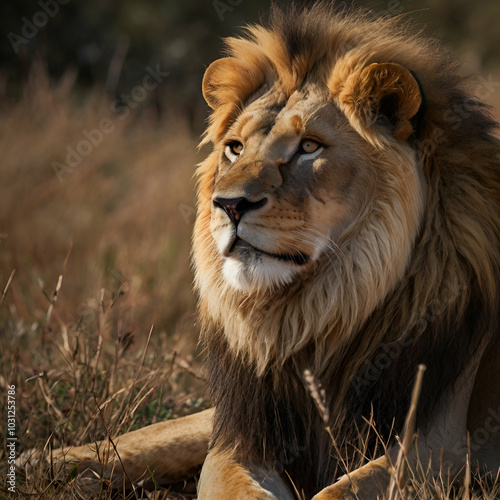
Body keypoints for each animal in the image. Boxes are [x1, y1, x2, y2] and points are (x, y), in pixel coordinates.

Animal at [35, 3, 500, 500]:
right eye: (235, 148)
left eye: (309, 146)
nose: (229, 204)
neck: (318, 314)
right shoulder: (243, 433)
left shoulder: (444, 447)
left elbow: (337, 491)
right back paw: (47, 461)